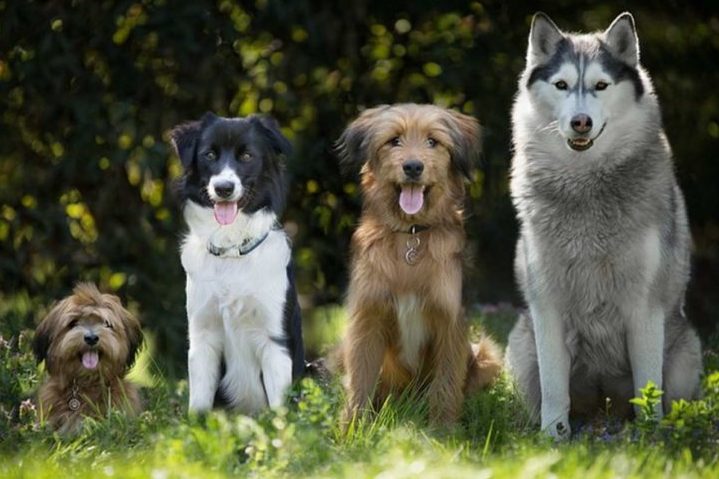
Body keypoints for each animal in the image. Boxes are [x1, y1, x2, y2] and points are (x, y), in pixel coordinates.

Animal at [173, 113, 306, 416]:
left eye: (246, 155)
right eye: (209, 154)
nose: (224, 188)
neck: (232, 251)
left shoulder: (274, 340)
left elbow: (279, 410)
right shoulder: (202, 336)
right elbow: (199, 403)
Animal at [336, 103, 500, 426]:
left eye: (432, 142)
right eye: (394, 140)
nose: (413, 167)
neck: (411, 235)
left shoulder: (450, 321)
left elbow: (446, 384)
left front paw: (443, 429)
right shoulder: (367, 318)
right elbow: (361, 380)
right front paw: (352, 427)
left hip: (486, 354)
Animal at [506, 11, 704, 440]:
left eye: (600, 85)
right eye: (562, 85)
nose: (581, 122)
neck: (585, 186)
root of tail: (602, 411)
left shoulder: (643, 306)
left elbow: (648, 385)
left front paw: (650, 437)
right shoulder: (547, 305)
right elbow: (554, 388)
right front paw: (553, 437)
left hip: (686, 351)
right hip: (521, 344)